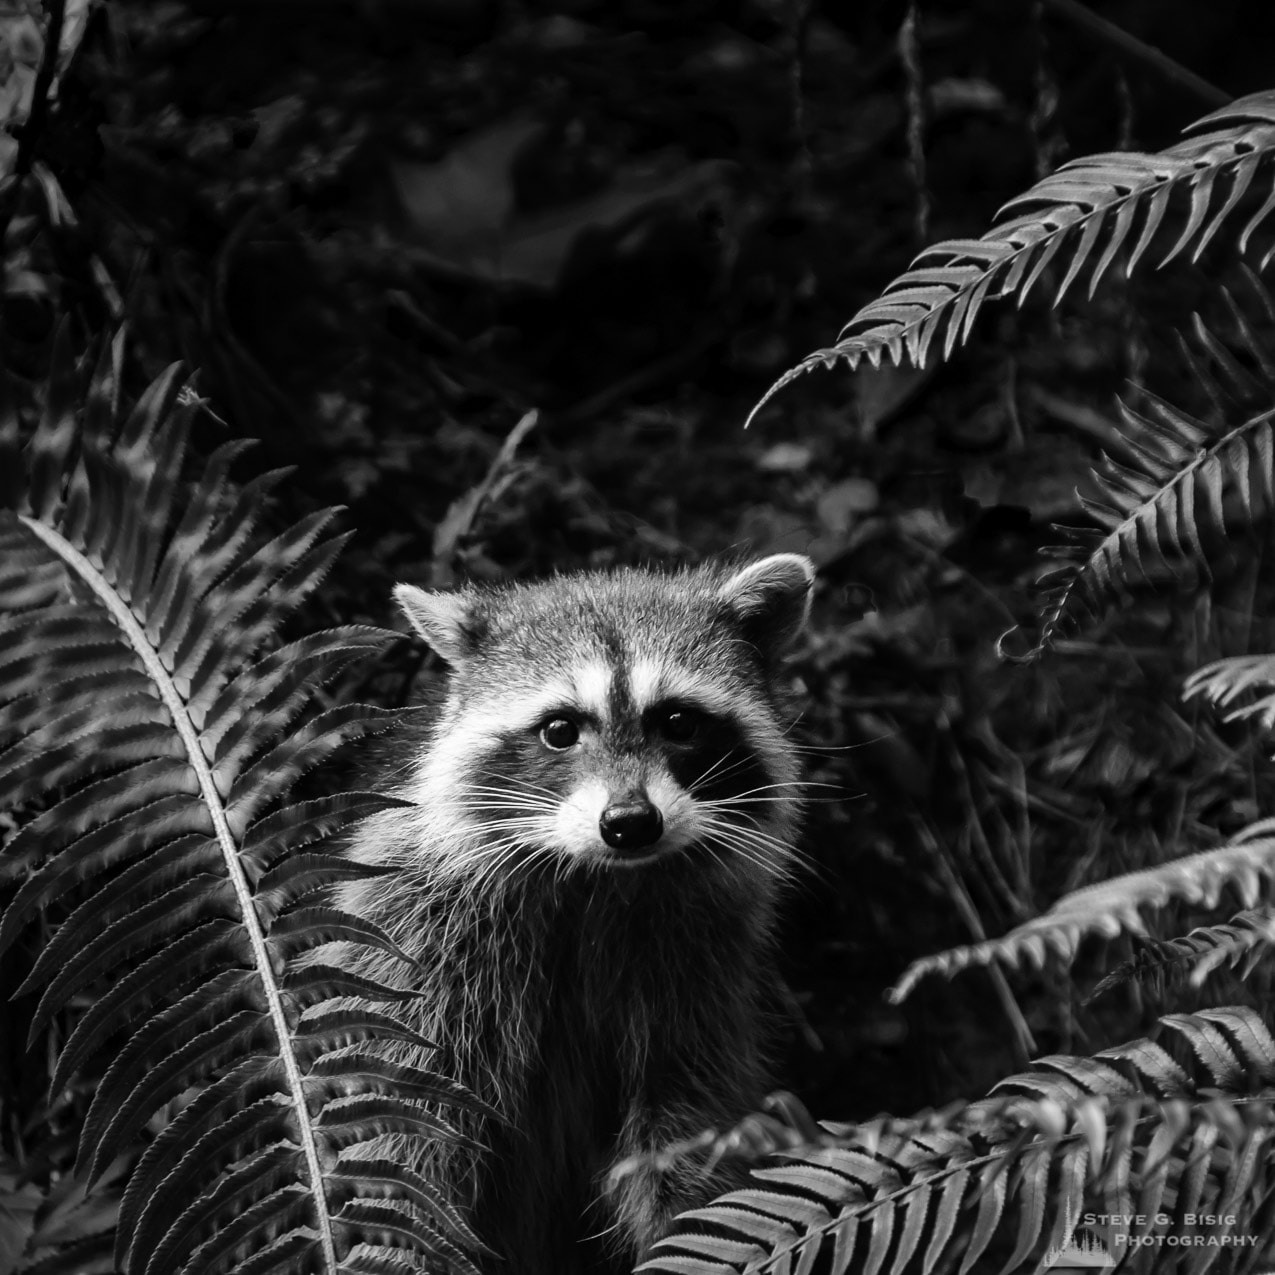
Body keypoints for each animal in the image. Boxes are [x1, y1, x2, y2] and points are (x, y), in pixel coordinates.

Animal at [344, 555, 810, 1275]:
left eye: (678, 722)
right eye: (560, 730)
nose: (630, 823)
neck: (595, 877)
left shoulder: (696, 963)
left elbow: (683, 1113)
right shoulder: (417, 942)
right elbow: (410, 1131)